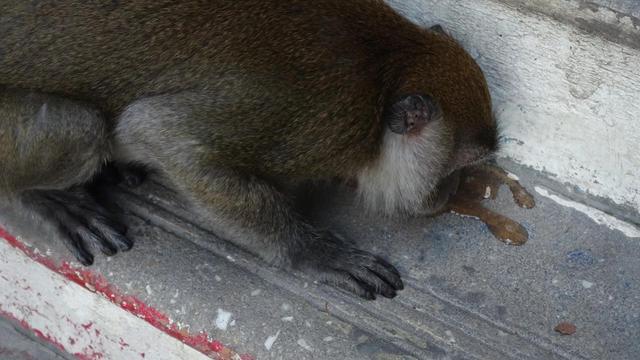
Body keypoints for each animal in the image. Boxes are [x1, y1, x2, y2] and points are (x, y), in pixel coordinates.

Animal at [0, 0, 498, 300]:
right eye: (457, 168)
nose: (450, 193)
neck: (388, 63)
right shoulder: (319, 123)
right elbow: (157, 130)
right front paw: (311, 252)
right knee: (83, 127)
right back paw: (39, 199)